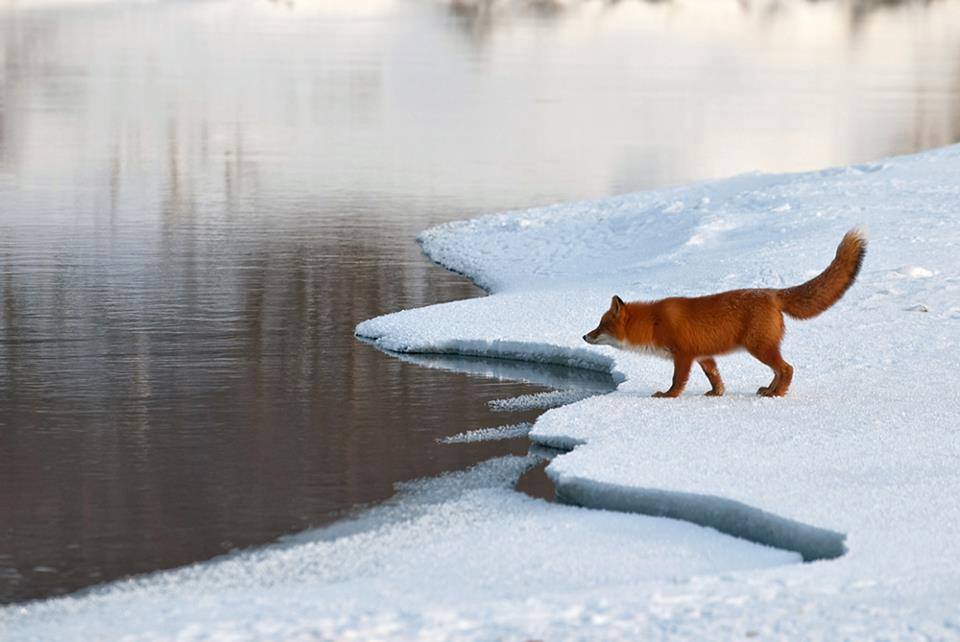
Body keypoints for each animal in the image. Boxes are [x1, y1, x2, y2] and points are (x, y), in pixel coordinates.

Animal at [580, 230, 868, 396]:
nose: (584, 336)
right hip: (762, 348)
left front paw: (668, 396)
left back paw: (777, 394)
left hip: (759, 348)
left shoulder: (683, 355)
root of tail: (773, 293)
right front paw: (716, 394)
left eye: (602, 325)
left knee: (787, 369)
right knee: (779, 371)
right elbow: (715, 378)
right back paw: (768, 390)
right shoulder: (704, 356)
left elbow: (677, 380)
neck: (653, 323)